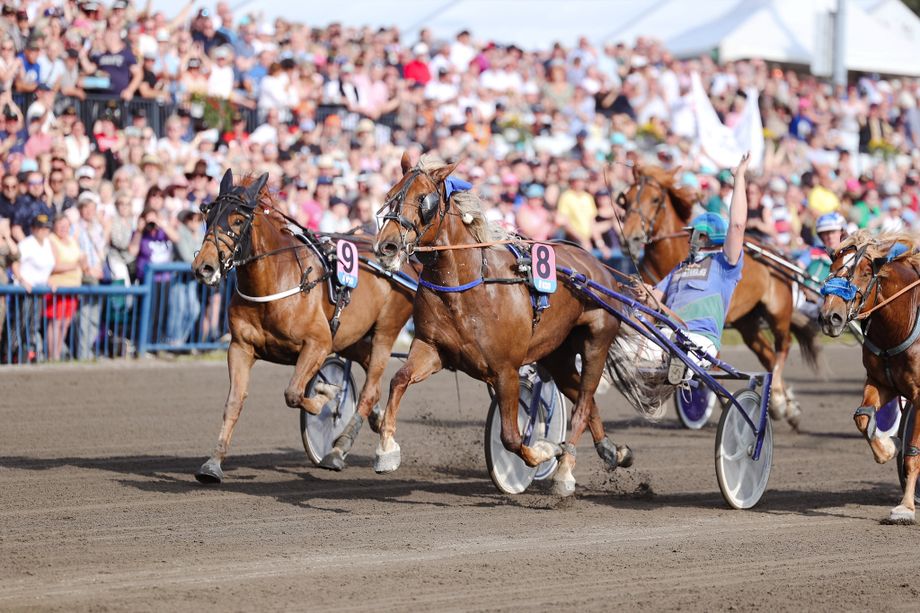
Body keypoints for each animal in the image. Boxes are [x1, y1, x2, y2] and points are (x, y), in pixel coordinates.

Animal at [192, 170, 416, 480]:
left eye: (237, 220)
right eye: (208, 215)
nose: (204, 267)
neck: (275, 282)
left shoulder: (318, 344)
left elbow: (294, 393)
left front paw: (326, 396)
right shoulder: (240, 347)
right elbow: (234, 403)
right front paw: (213, 463)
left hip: (386, 329)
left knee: (371, 388)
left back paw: (338, 450)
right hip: (352, 338)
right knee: (369, 372)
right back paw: (376, 422)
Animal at [370, 153, 636, 498]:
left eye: (423, 199)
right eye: (391, 194)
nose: (387, 247)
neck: (469, 285)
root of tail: (596, 266)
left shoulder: (505, 370)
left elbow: (511, 436)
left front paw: (544, 451)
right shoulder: (432, 349)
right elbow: (398, 380)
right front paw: (386, 449)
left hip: (596, 342)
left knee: (582, 403)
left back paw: (565, 471)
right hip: (558, 354)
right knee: (584, 398)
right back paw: (612, 450)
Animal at [620, 165, 820, 428]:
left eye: (654, 199)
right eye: (625, 199)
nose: (630, 238)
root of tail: (776, 252)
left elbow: (709, 364)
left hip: (778, 311)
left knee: (782, 347)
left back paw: (779, 398)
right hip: (747, 322)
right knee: (765, 352)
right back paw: (782, 405)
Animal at [820, 230, 920, 520]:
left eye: (865, 272)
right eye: (832, 269)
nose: (830, 317)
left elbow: (913, 453)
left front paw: (906, 507)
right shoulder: (880, 382)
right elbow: (862, 418)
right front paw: (887, 448)